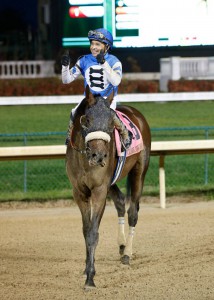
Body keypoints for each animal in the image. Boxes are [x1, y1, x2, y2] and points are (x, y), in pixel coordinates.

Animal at [65, 88, 150, 290]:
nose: (99, 156)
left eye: (112, 122)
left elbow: (93, 232)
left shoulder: (99, 191)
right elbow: (86, 229)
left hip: (139, 170)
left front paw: (90, 278)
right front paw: (86, 268)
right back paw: (122, 245)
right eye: (87, 119)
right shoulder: (79, 192)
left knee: (133, 211)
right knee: (120, 201)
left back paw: (127, 253)